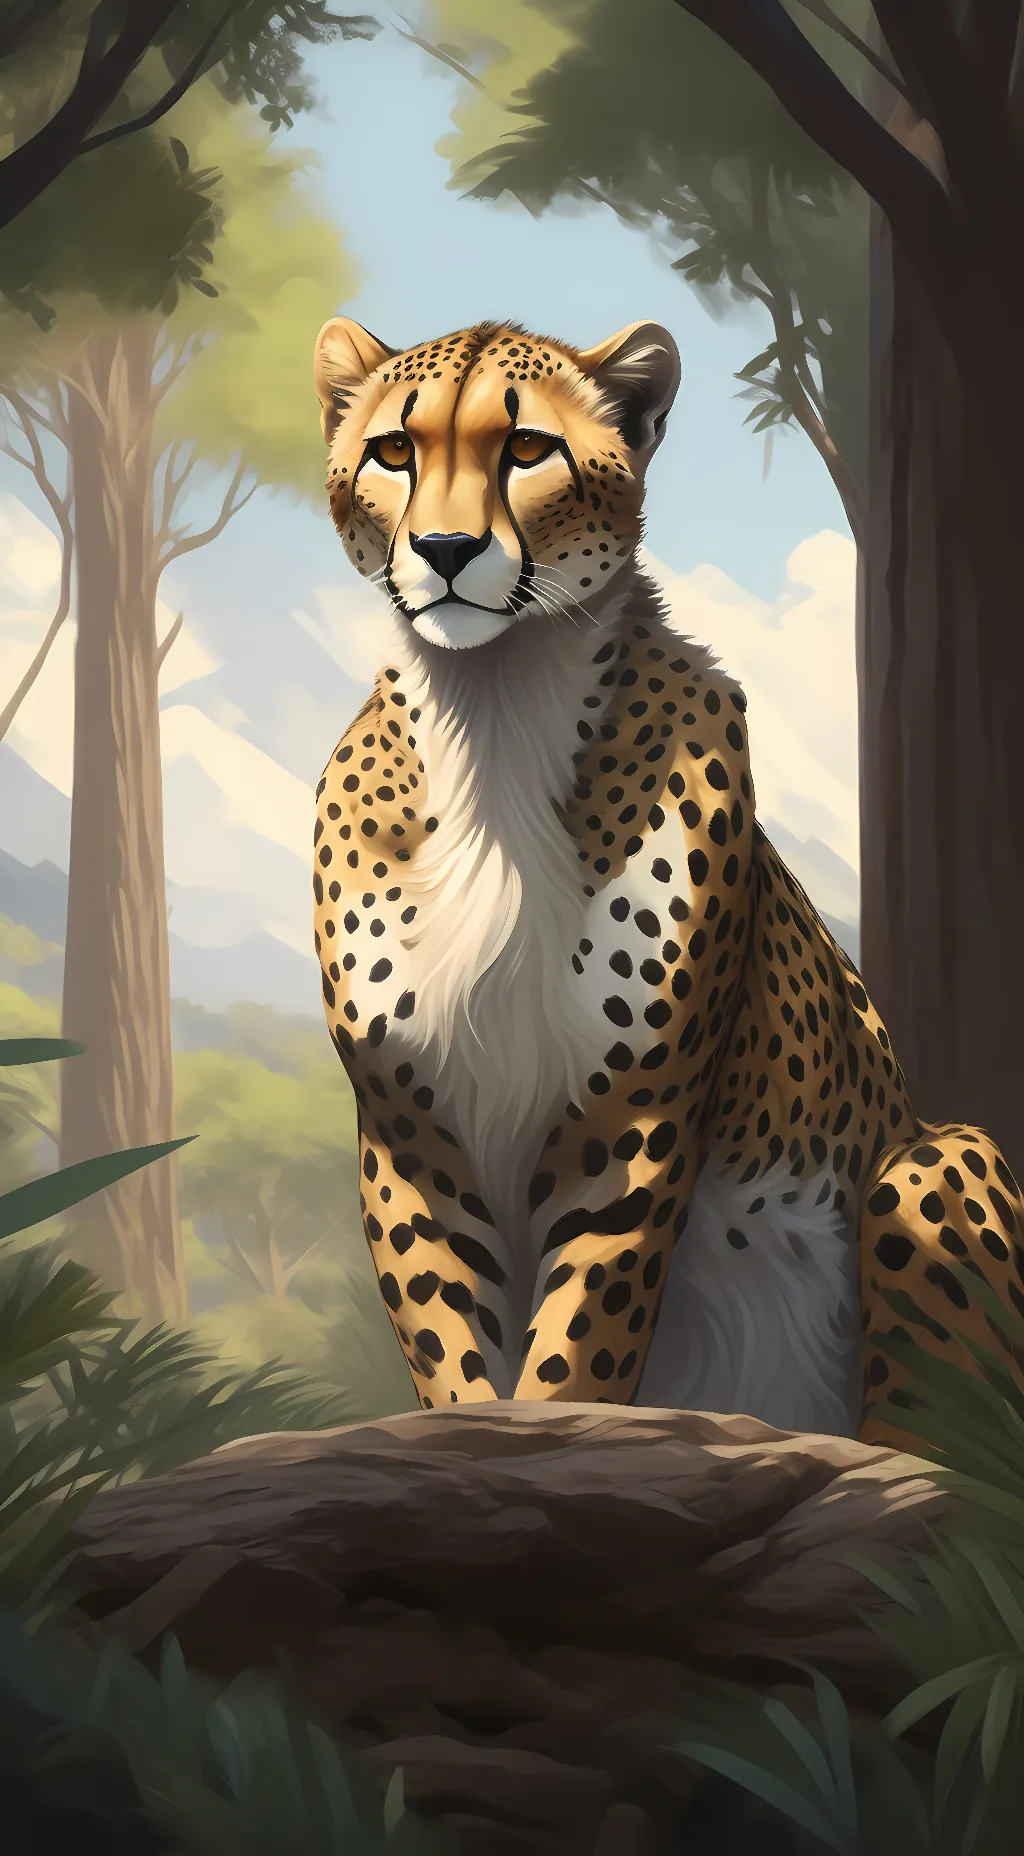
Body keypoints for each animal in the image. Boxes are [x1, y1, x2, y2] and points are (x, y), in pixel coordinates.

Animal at [310, 311, 1024, 1453]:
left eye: (526, 448)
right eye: (392, 452)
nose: (445, 552)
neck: (496, 707)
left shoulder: (629, 1126)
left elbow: (574, 1353)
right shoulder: (409, 1134)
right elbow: (451, 1343)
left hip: (929, 1159)